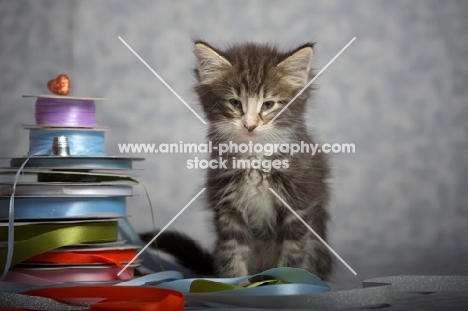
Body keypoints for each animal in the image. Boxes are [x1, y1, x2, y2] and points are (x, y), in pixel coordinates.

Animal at [144, 40, 330, 280]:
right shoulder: (228, 206)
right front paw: (237, 284)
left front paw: (287, 283)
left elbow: (293, 255)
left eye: (268, 105)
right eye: (234, 103)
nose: (249, 125)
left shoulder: (299, 203)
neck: (254, 156)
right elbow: (232, 254)